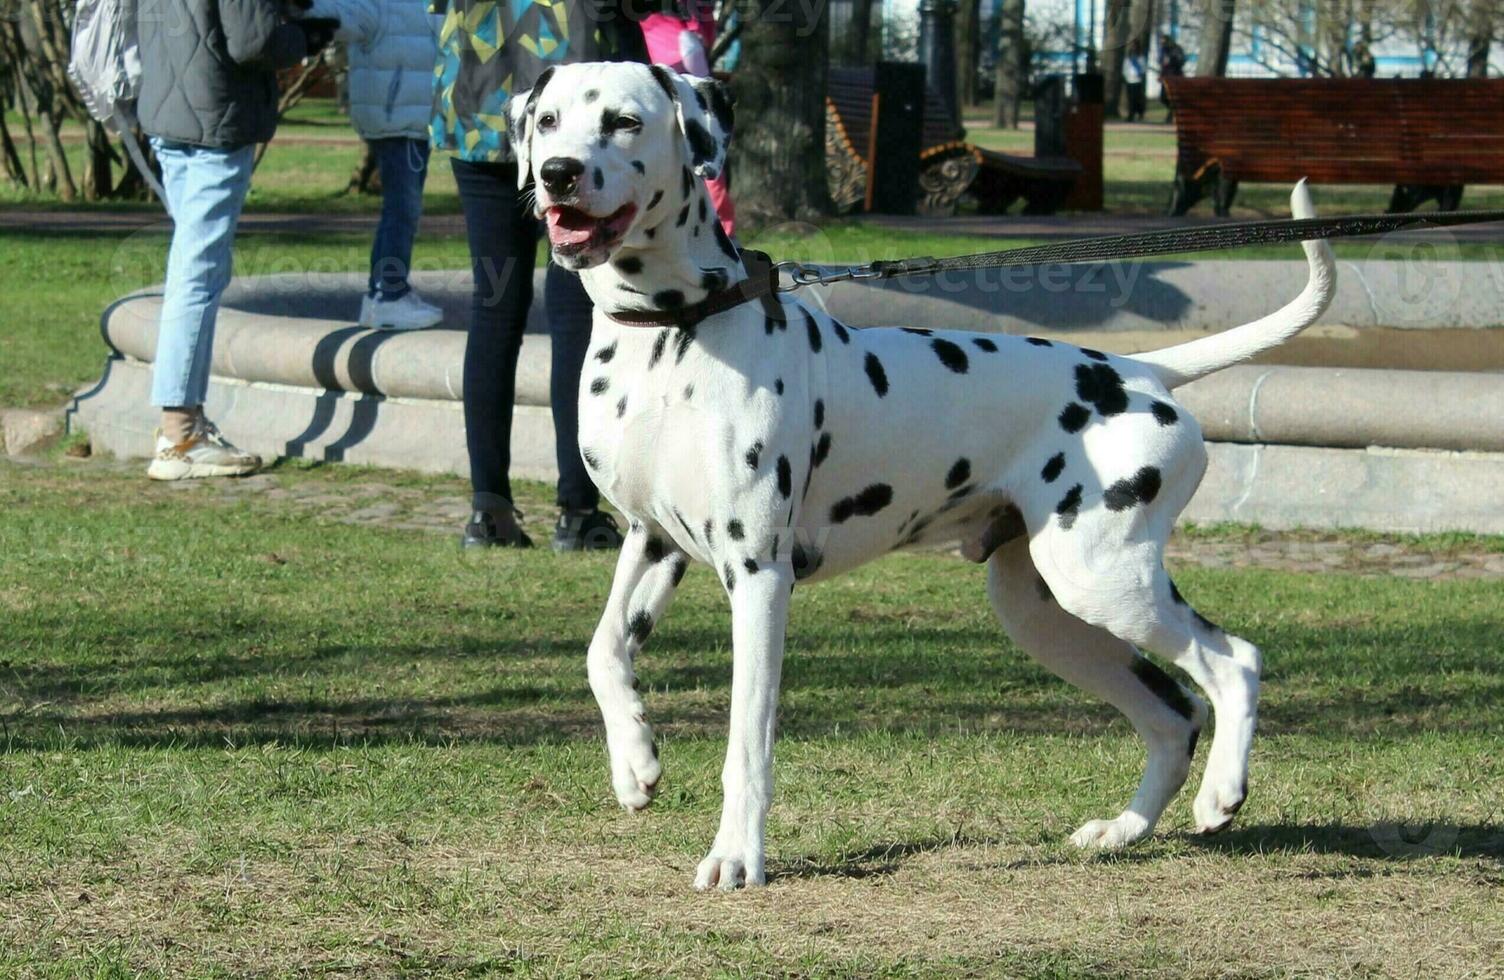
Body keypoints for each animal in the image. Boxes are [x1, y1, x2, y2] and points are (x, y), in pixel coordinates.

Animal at [508, 59, 1341, 889]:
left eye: (625, 122)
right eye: (547, 121)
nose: (557, 173)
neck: (676, 330)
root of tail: (1141, 371)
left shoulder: (758, 574)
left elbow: (747, 740)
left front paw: (736, 855)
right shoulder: (652, 540)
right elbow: (603, 651)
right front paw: (635, 762)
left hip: (1105, 582)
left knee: (1234, 663)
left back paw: (1221, 794)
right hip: (1046, 612)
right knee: (1171, 714)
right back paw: (1123, 829)